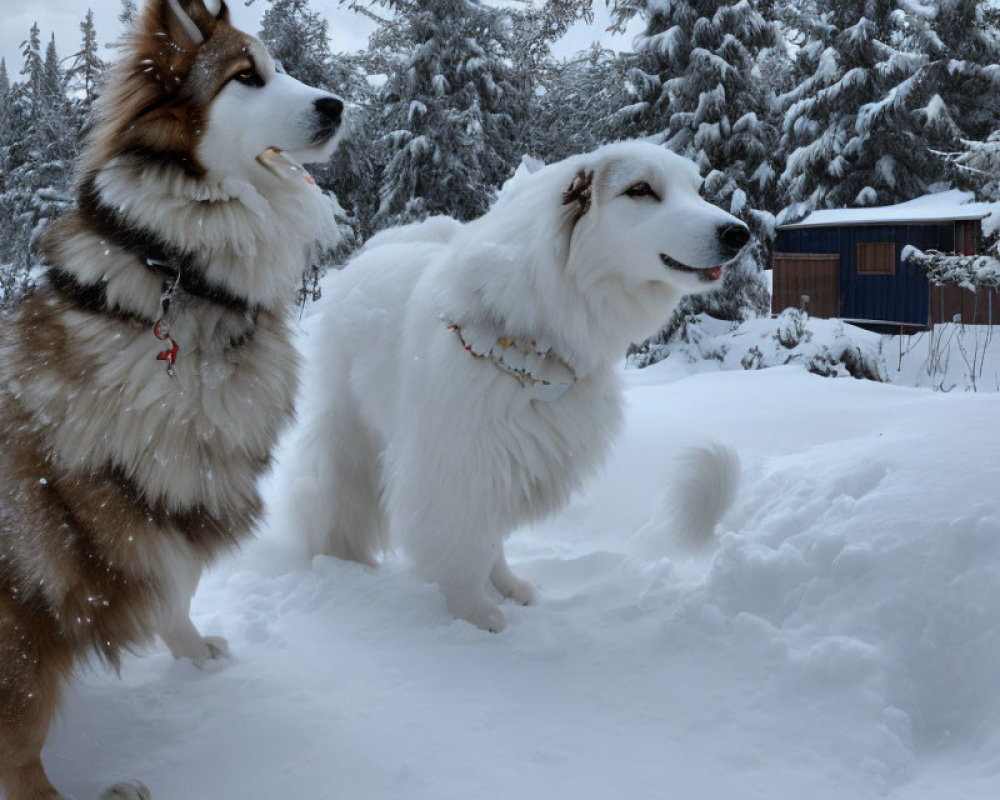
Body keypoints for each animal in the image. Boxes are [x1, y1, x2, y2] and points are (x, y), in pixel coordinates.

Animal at [0, 3, 344, 796]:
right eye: (246, 76)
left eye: (280, 66)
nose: (338, 106)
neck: (176, 272)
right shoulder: (89, 491)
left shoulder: (176, 469)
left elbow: (176, 584)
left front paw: (193, 653)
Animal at [290, 142, 752, 632]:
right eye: (640, 189)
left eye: (697, 190)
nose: (738, 233)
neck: (539, 339)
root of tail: (380, 247)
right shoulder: (457, 465)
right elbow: (461, 544)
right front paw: (473, 613)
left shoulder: (511, 459)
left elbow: (488, 539)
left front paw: (502, 588)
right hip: (351, 431)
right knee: (331, 494)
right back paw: (337, 557)